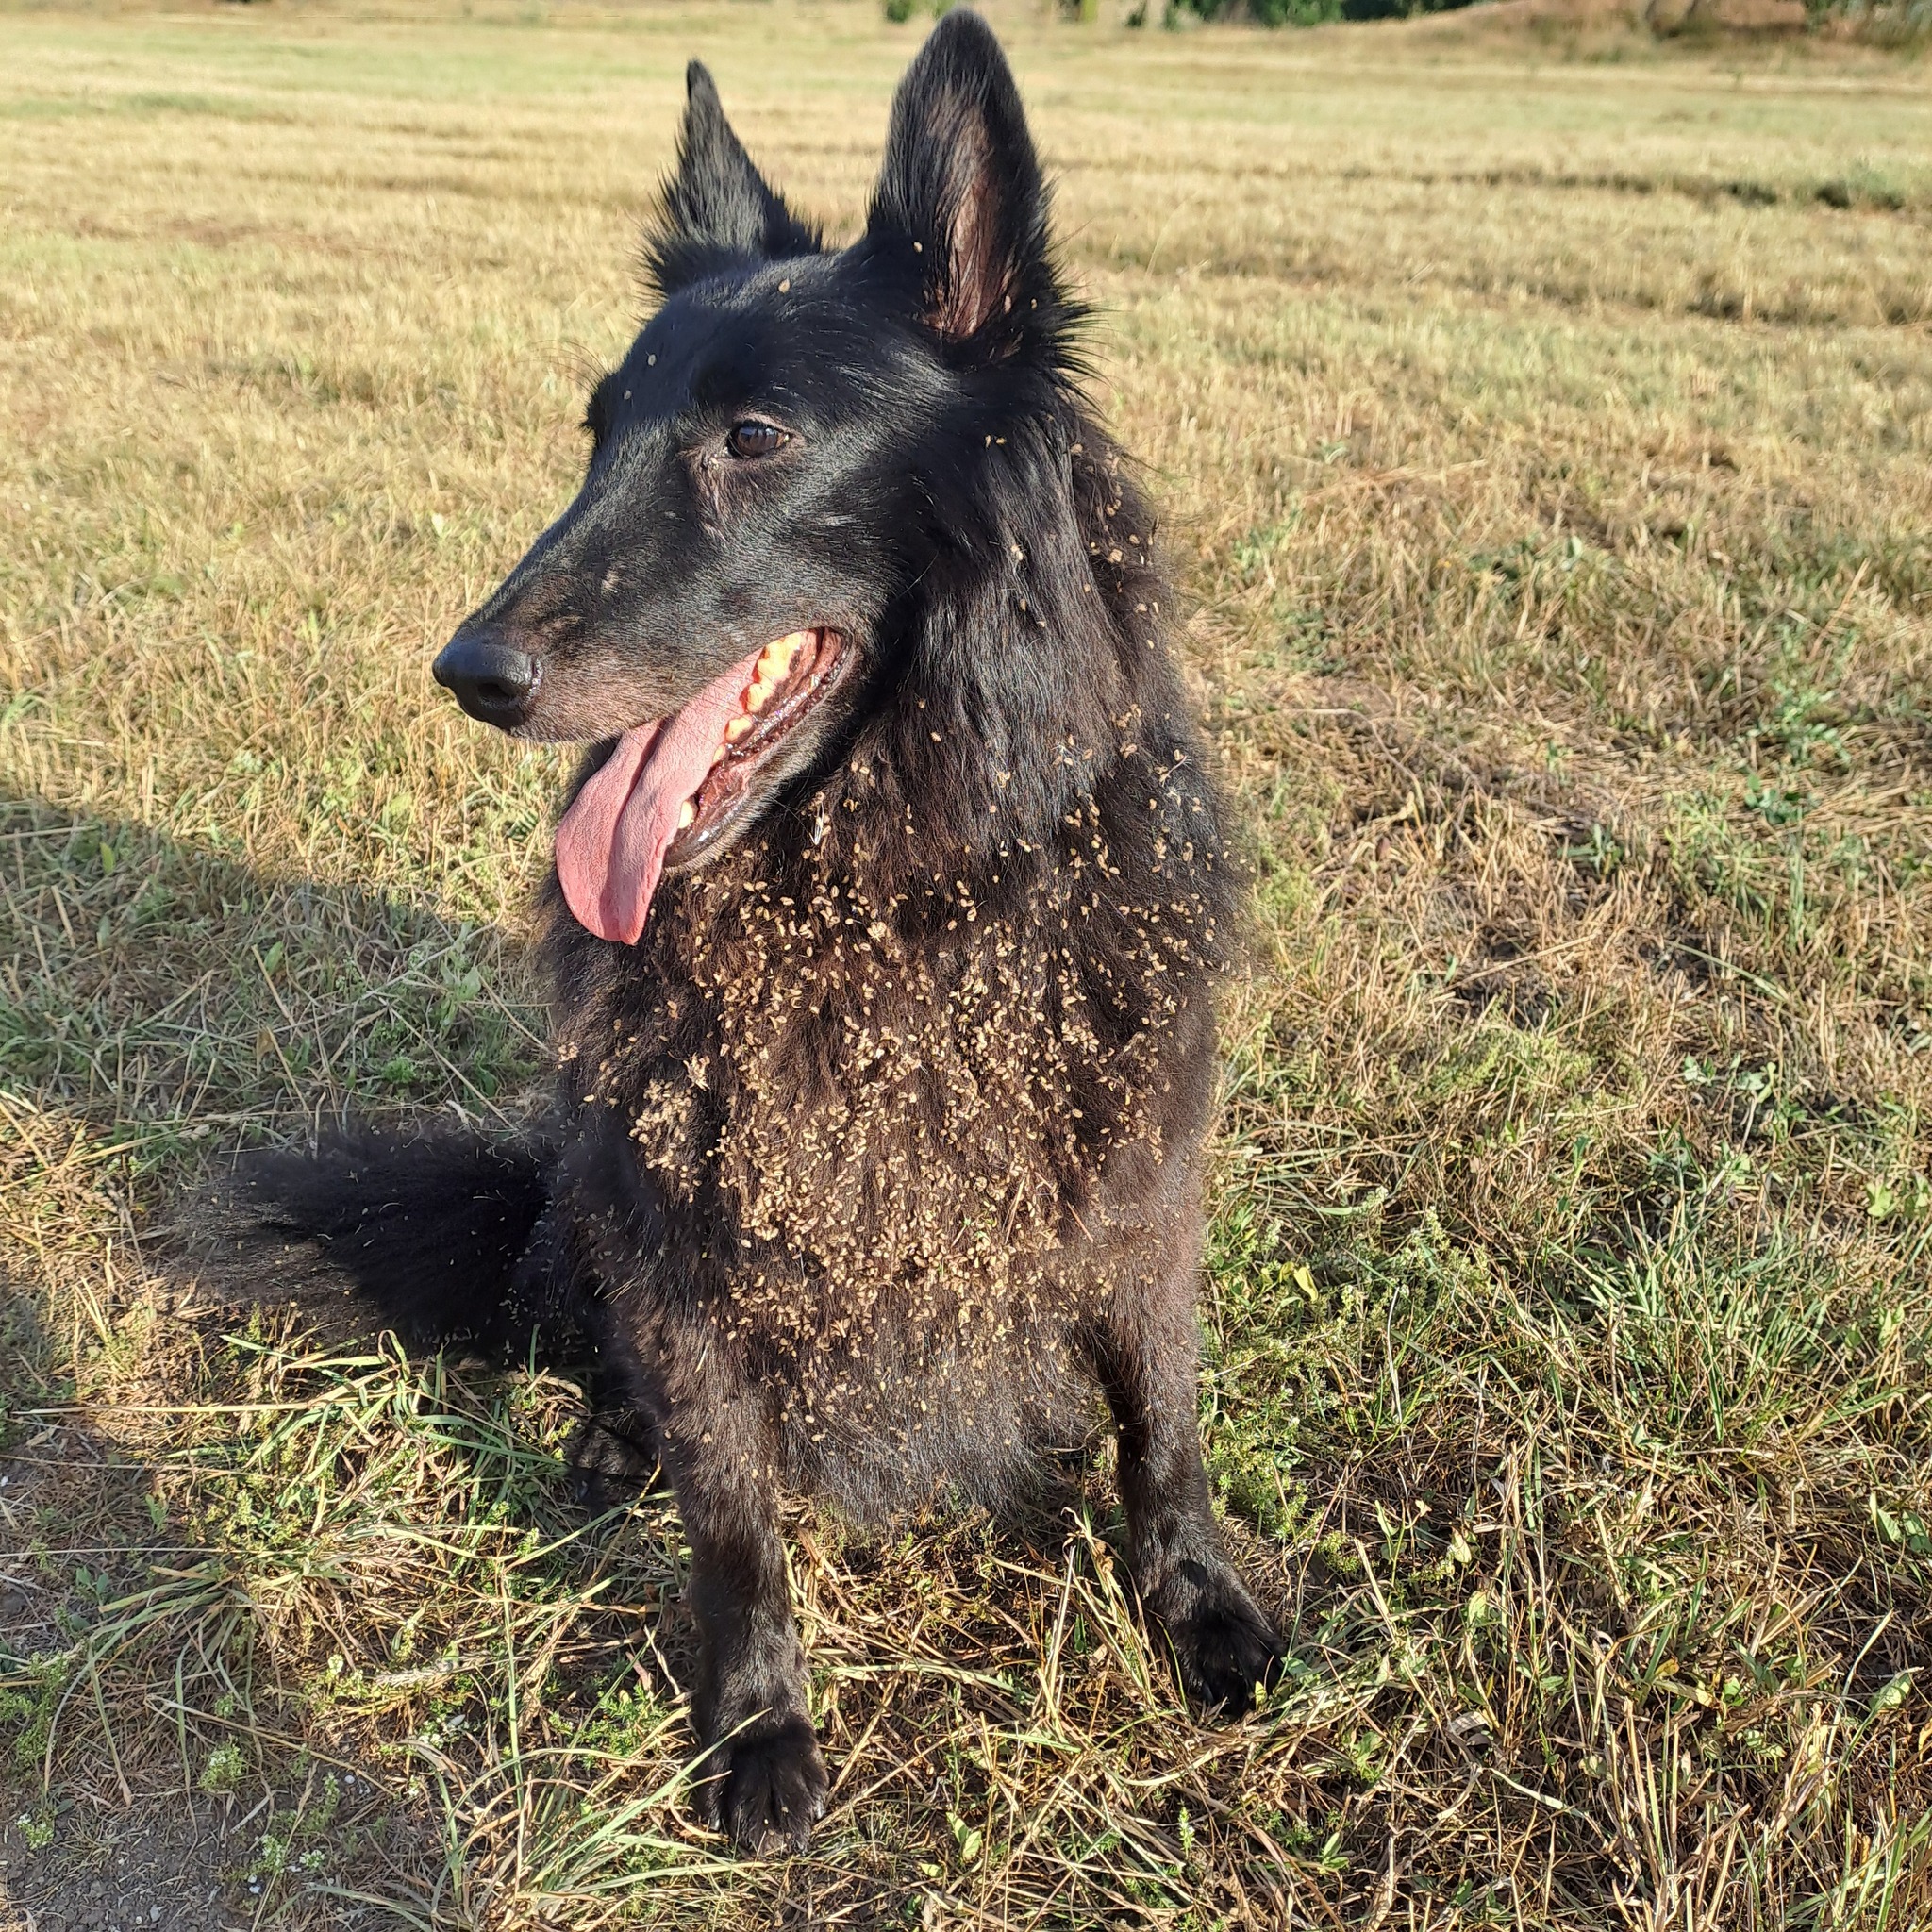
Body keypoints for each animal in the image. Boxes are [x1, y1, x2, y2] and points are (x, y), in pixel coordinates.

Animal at [229, 18, 1282, 1855]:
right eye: (593, 434)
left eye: (752, 436)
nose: (468, 672)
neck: (901, 899)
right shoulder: (683, 1227)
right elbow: (730, 1505)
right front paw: (757, 1721)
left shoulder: (1134, 1185)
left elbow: (1166, 1421)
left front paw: (1193, 1601)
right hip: (590, 1186)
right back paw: (604, 1444)